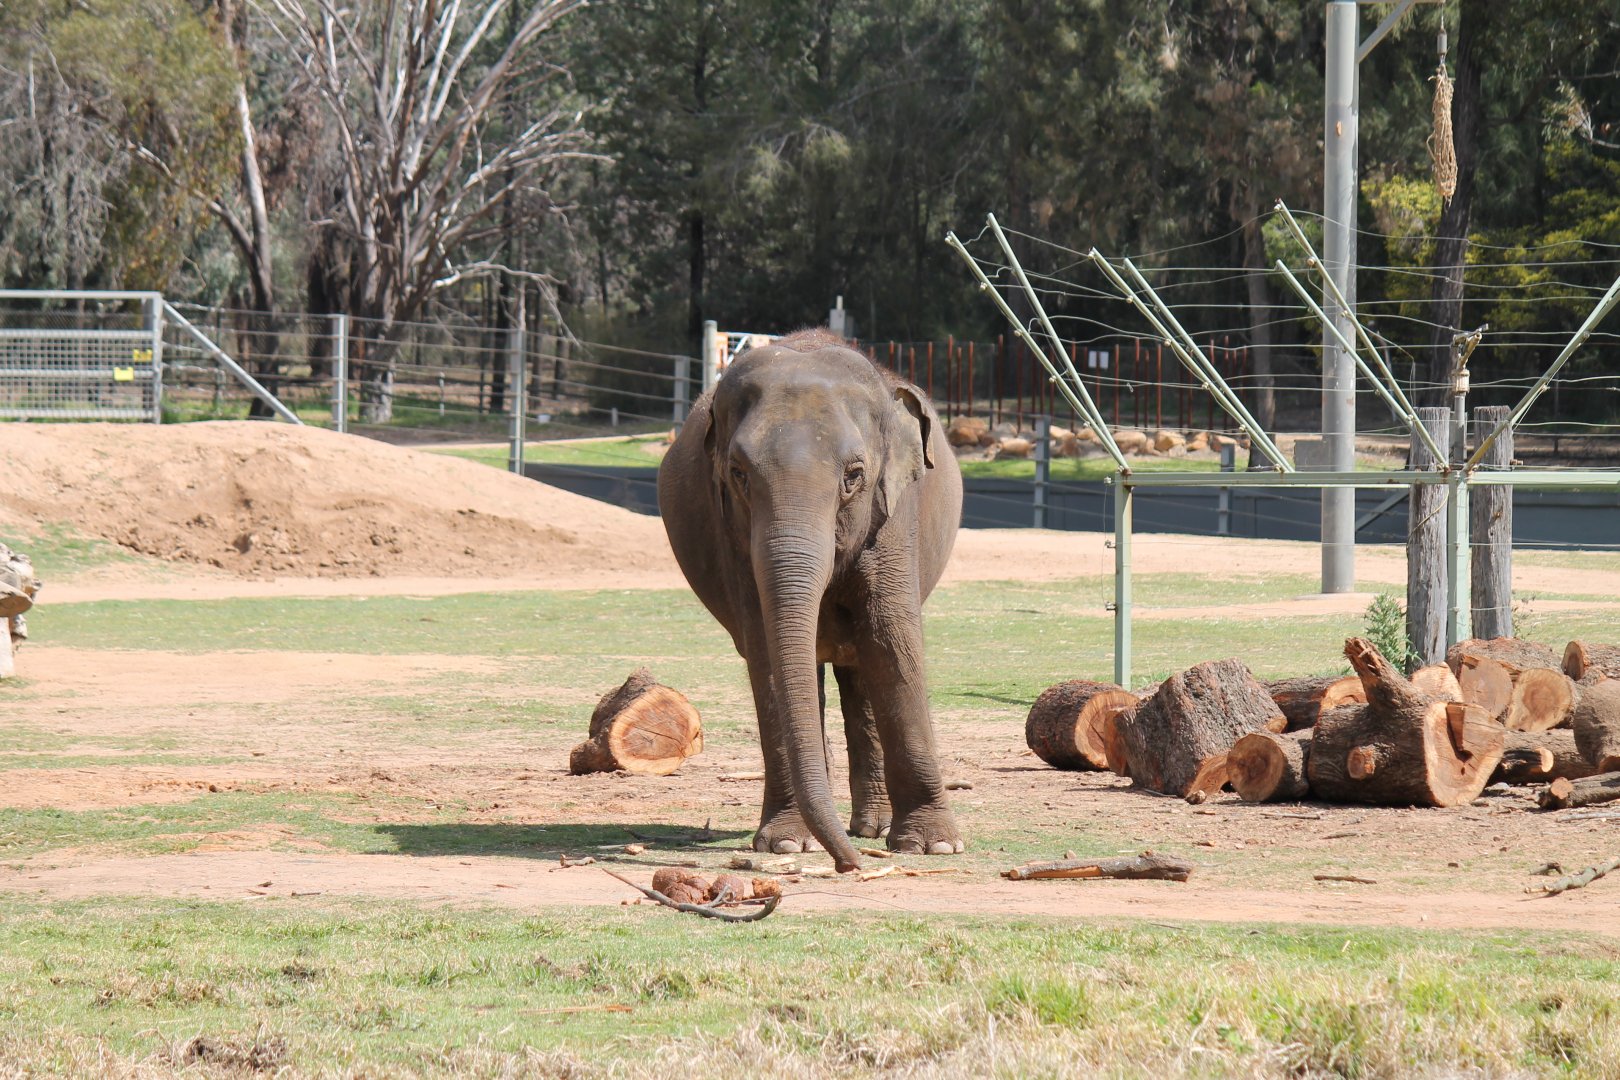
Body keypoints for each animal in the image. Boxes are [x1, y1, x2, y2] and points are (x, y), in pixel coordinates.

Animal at [657, 328, 963, 873]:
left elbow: (891, 640)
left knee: (861, 668)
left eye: (854, 475)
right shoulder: (731, 535)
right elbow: (765, 651)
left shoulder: (895, 513)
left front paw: (934, 845)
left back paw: (872, 828)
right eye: (737, 474)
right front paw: (785, 844)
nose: (851, 865)